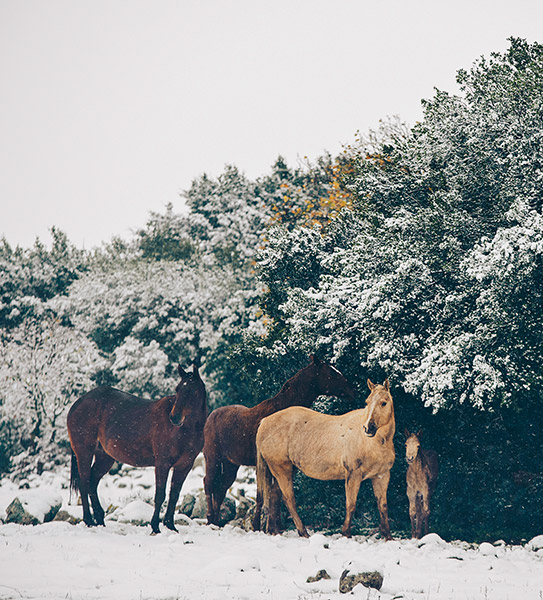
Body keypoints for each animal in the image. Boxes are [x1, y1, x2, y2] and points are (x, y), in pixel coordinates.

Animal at [66, 364, 206, 532]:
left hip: (104, 457)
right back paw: (89, 520)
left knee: (92, 482)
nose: (175, 417)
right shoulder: (162, 463)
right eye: (178, 389)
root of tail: (77, 404)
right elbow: (160, 495)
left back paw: (99, 519)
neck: (184, 430)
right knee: (84, 483)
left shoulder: (184, 466)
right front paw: (155, 527)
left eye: (192, 390)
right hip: (84, 453)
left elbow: (174, 495)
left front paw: (171, 526)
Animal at [204, 356, 356, 524]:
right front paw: (259, 524)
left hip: (231, 463)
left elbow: (274, 496)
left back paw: (216, 521)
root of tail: (210, 417)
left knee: (220, 489)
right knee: (208, 483)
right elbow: (263, 496)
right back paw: (210, 518)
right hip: (212, 457)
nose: (352, 390)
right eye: (331, 372)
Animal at [256, 380, 396, 540]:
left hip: (285, 469)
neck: (374, 442)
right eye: (367, 402)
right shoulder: (353, 474)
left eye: (384, 403)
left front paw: (388, 537)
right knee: (289, 499)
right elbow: (351, 504)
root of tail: (264, 422)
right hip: (281, 469)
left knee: (274, 497)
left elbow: (383, 506)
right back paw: (303, 532)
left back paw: (274, 531)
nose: (368, 428)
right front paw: (346, 534)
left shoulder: (381, 476)